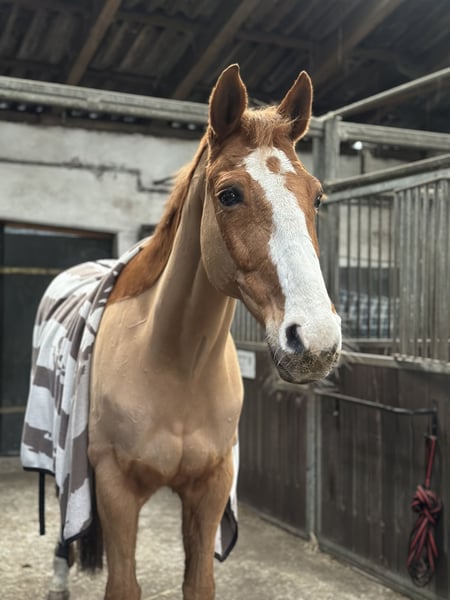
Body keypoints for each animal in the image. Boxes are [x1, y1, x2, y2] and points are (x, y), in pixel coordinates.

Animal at [22, 64, 341, 600]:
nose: (314, 340)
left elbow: (199, 582)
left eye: (317, 196)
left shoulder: (210, 489)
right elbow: (121, 583)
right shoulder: (114, 489)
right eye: (228, 194)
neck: (177, 364)